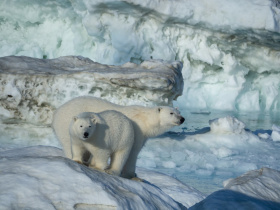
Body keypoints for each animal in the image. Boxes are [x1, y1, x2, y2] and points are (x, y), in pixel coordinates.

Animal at [52, 97, 185, 179]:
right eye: (171, 113)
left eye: (178, 112)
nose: (182, 119)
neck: (145, 120)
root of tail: (57, 111)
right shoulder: (136, 130)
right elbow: (133, 152)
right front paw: (131, 174)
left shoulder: (143, 135)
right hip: (67, 126)